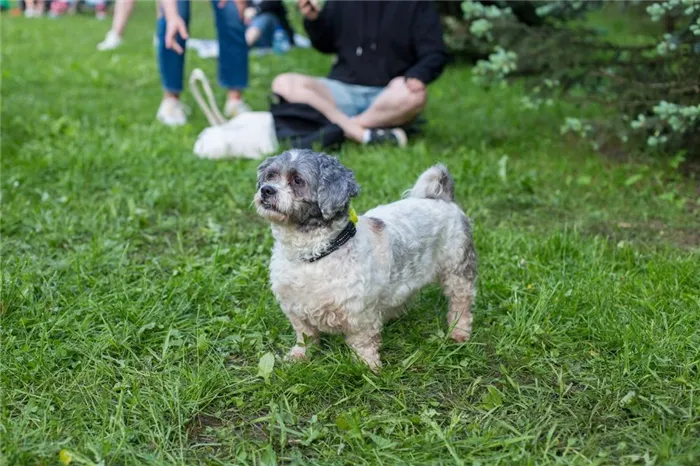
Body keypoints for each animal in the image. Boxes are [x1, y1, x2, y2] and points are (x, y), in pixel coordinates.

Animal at [254, 149, 478, 372]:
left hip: (457, 270)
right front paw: (299, 357)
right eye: (270, 176)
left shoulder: (360, 314)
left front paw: (366, 367)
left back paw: (459, 332)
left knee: (461, 304)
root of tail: (442, 198)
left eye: (298, 180)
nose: (266, 190)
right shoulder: (295, 307)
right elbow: (305, 336)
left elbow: (362, 342)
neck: (313, 256)